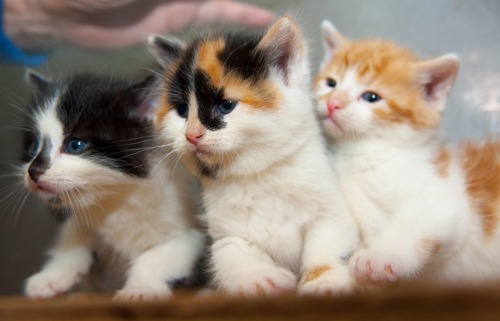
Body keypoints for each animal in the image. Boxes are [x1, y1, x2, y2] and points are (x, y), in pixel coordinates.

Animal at [21, 70, 205, 300]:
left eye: (75, 145)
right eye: (34, 146)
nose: (33, 171)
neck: (116, 201)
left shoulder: (192, 229)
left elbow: (160, 255)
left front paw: (140, 289)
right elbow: (73, 237)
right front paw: (52, 276)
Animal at [148, 15, 360, 296]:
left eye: (225, 106)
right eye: (182, 110)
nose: (192, 135)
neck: (259, 173)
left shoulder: (331, 211)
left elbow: (328, 244)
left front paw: (325, 280)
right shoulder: (226, 234)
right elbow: (234, 255)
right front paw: (262, 279)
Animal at [316, 20, 500, 284]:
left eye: (371, 97)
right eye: (331, 83)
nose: (333, 103)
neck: (363, 152)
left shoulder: (442, 195)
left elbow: (415, 223)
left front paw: (378, 257)